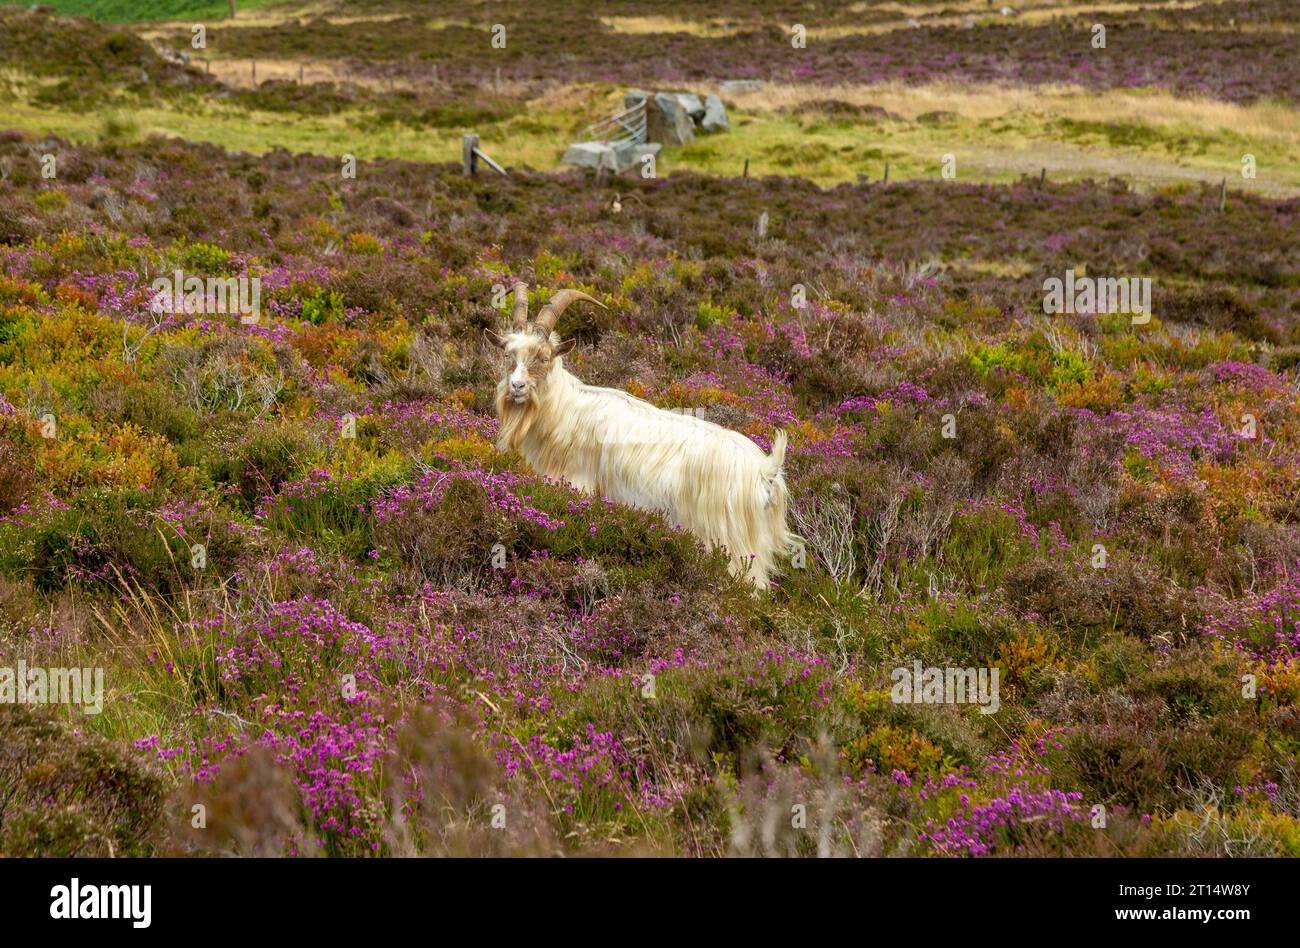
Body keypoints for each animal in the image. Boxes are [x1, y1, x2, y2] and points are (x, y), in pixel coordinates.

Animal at [484, 281, 798, 589]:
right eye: (508, 355)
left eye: (544, 357)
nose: (517, 386)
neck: (567, 411)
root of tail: (765, 471)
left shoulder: (577, 485)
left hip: (731, 547)